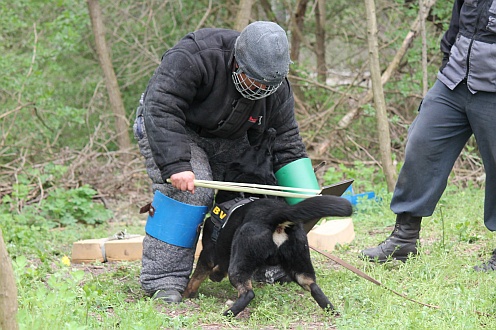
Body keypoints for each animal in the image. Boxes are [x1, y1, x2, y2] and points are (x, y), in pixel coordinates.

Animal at [183, 129, 352, 318]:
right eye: (270, 155)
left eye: (255, 148)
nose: (271, 131)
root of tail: (276, 216)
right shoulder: (226, 253)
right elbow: (219, 269)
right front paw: (215, 276)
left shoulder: (209, 252)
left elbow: (195, 278)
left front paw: (186, 294)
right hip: (299, 266)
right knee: (314, 287)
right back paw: (333, 312)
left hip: (242, 259)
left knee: (248, 293)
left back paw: (228, 313)